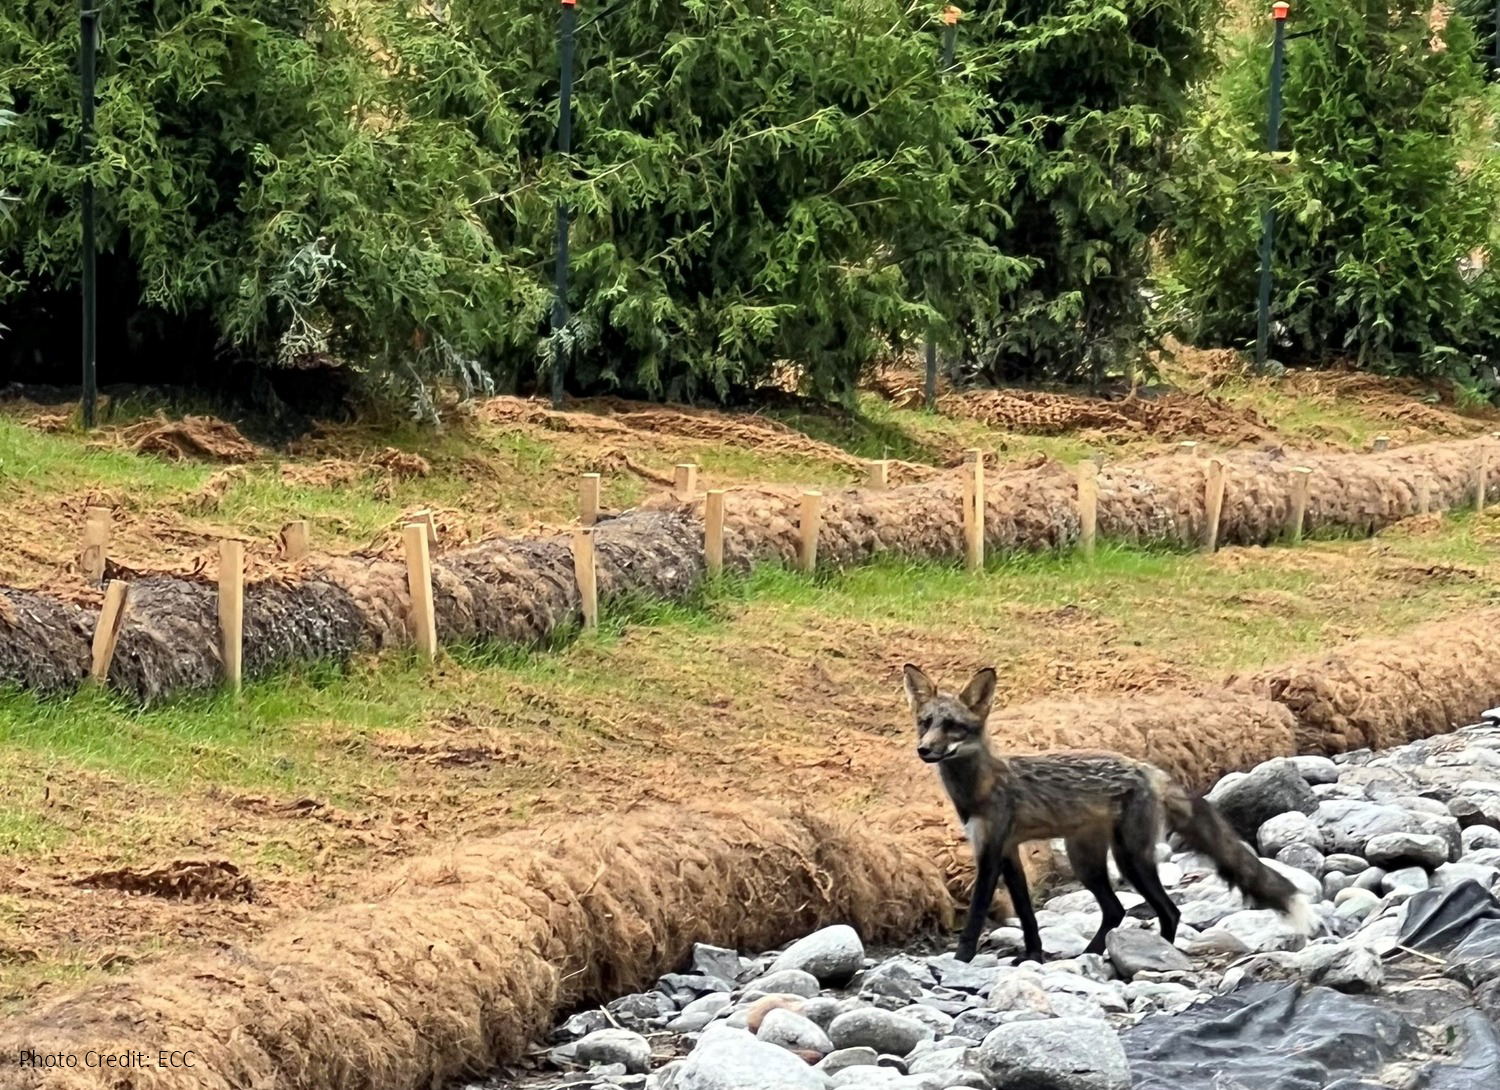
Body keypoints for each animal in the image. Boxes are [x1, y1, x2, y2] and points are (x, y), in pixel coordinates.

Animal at [903, 664, 1313, 964]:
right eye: (925, 723)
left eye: (953, 726)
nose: (924, 750)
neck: (981, 789)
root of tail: (1147, 769)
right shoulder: (1006, 851)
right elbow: (1027, 914)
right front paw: (1033, 956)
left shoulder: (990, 852)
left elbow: (975, 914)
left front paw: (962, 958)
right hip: (1086, 862)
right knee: (1115, 911)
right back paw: (1093, 953)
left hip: (1130, 860)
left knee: (1169, 912)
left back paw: (1156, 956)